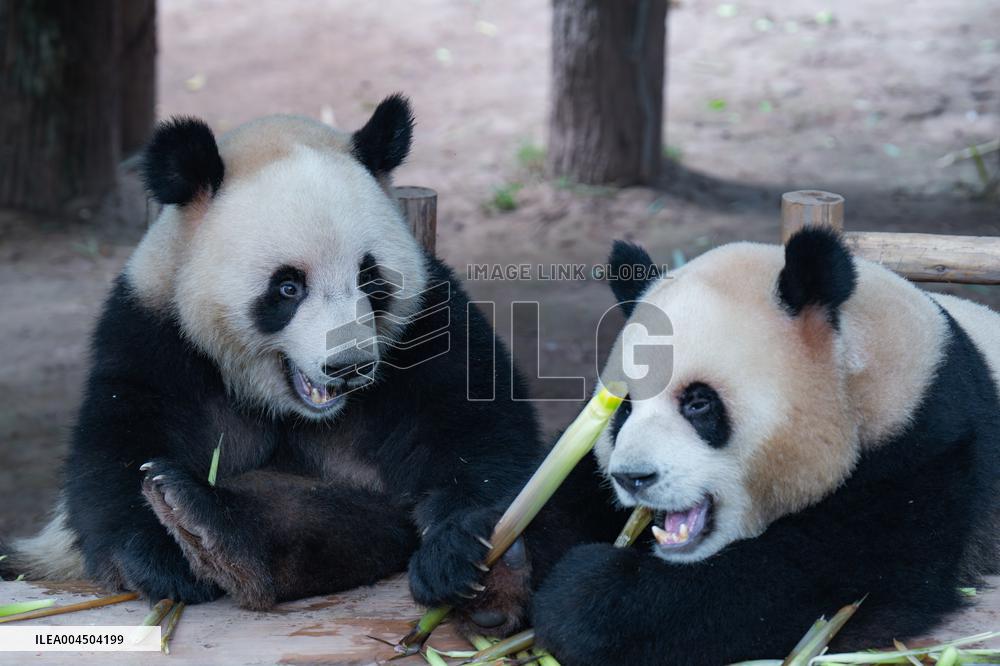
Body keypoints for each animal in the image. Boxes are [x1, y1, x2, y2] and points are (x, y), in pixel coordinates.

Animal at [0, 95, 546, 619]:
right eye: (287, 287)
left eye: (369, 278)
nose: (349, 365)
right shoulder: (153, 332)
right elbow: (118, 446)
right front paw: (162, 561)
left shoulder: (428, 324)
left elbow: (478, 431)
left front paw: (456, 552)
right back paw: (198, 523)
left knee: (324, 518)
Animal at [530, 228, 1000, 665]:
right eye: (624, 408)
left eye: (699, 402)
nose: (632, 477)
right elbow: (560, 493)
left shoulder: (925, 447)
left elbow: (808, 582)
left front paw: (584, 596)